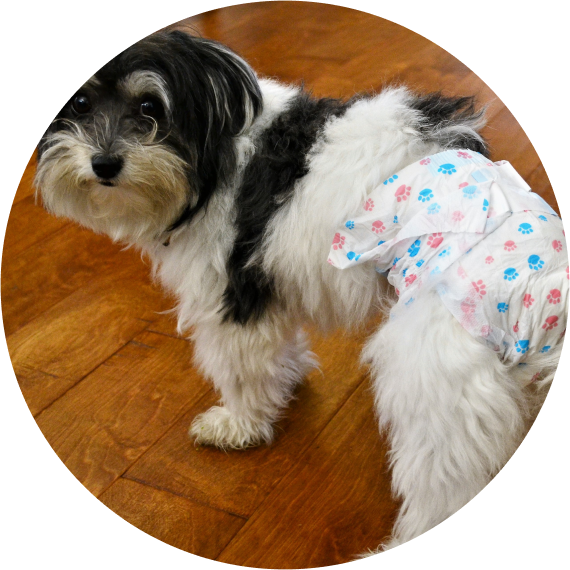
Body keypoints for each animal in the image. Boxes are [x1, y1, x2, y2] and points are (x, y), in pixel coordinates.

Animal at [34, 29, 567, 554]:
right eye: (79, 102)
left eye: (149, 106)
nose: (104, 163)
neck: (215, 153)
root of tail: (545, 286)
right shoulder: (266, 292)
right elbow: (274, 351)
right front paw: (286, 381)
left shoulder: (230, 295)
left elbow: (242, 371)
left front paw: (239, 426)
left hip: (436, 383)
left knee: (445, 485)